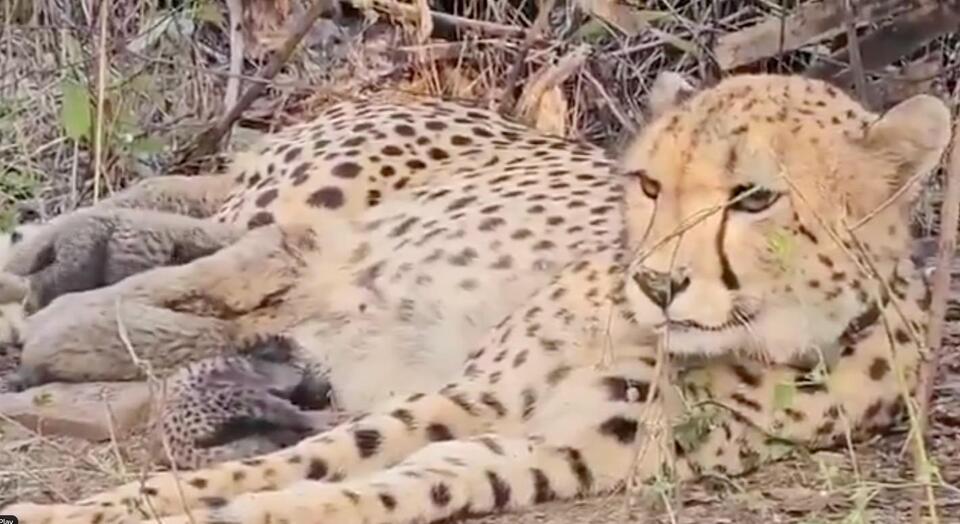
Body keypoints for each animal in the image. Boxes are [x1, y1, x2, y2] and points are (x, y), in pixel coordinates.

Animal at [3, 72, 951, 524]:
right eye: (649, 185)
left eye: (754, 199)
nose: (654, 282)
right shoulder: (472, 395)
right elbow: (294, 460)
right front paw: (89, 510)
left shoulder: (550, 450)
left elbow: (368, 488)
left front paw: (245, 507)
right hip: (306, 206)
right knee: (218, 254)